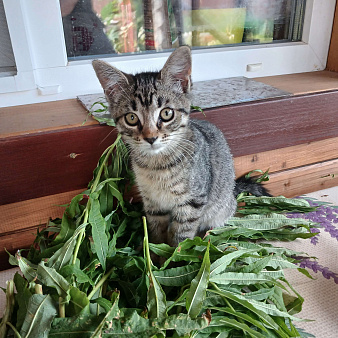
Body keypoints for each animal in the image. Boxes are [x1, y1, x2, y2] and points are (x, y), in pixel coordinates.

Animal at [92, 46, 262, 247]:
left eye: (166, 113)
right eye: (131, 118)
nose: (151, 138)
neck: (156, 166)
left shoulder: (192, 202)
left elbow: (181, 236)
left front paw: (177, 253)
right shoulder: (152, 203)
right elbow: (156, 231)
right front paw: (154, 252)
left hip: (220, 207)